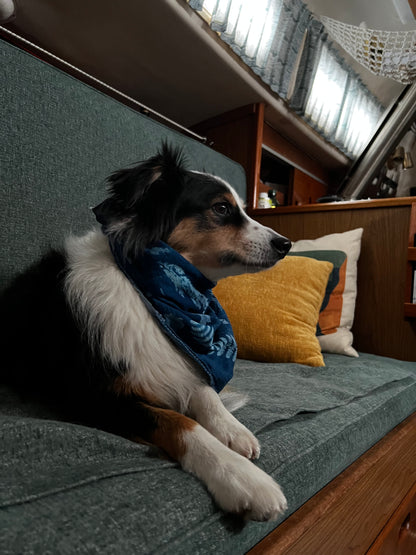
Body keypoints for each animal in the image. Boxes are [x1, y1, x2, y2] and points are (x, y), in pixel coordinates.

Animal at [0, 142, 292, 520]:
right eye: (222, 208)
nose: (286, 244)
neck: (148, 290)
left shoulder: (174, 356)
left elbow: (203, 390)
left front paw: (230, 428)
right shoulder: (89, 394)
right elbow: (178, 422)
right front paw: (239, 475)